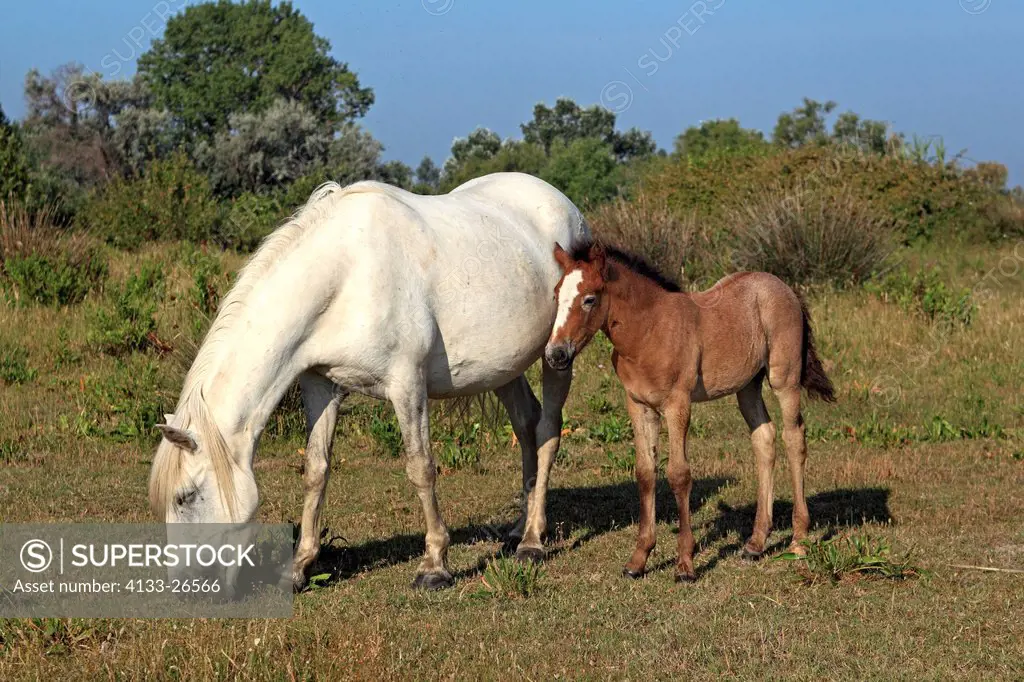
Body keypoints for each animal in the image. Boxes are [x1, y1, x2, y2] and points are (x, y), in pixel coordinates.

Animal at [148, 171, 589, 589]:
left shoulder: (407, 384)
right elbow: (316, 469)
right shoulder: (320, 385)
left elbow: (420, 468)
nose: (184, 585)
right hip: (503, 368)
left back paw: (532, 541)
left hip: (556, 356)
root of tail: (563, 204)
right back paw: (517, 528)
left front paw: (435, 566)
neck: (346, 277)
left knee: (547, 430)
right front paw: (299, 567)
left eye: (185, 497)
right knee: (526, 425)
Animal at [548, 241, 835, 581]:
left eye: (589, 298)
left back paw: (799, 542)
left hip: (784, 379)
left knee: (795, 438)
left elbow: (678, 474)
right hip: (747, 386)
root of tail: (785, 287)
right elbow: (645, 472)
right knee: (764, 438)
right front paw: (638, 560)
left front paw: (685, 563)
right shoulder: (639, 405)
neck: (649, 331)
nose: (555, 354)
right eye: (556, 295)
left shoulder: (677, 403)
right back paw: (755, 543)